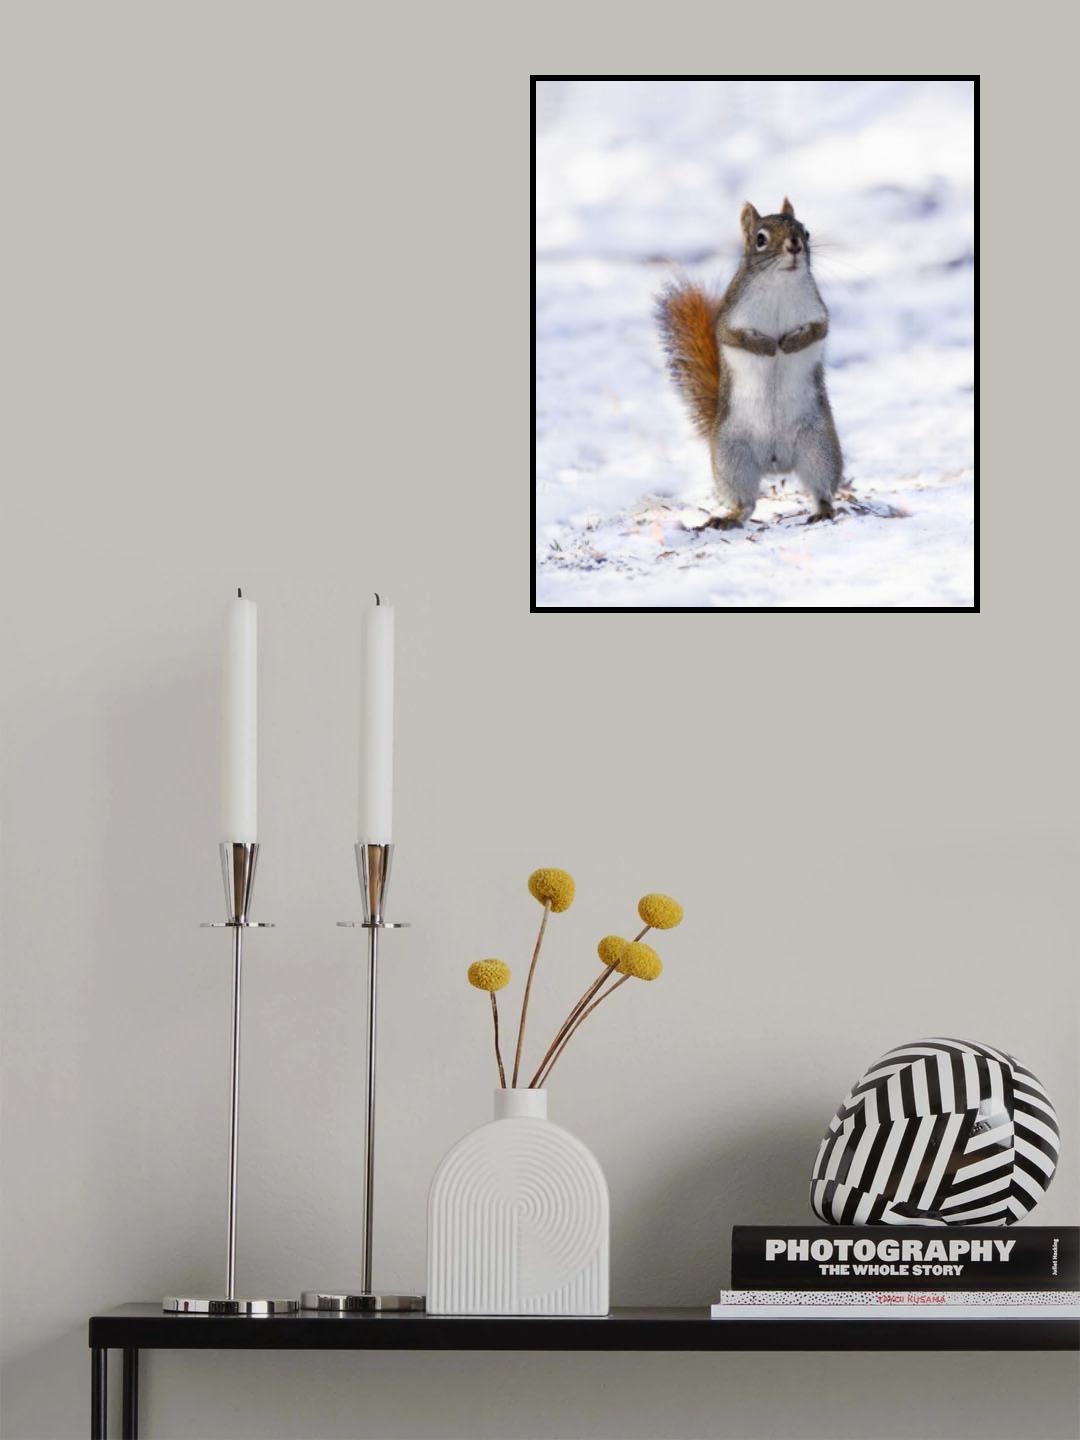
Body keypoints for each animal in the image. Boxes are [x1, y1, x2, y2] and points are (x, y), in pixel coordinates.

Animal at [656, 198, 842, 525]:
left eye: (805, 231)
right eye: (760, 239)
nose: (794, 246)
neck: (780, 285)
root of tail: (776, 463)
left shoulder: (817, 313)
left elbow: (817, 331)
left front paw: (789, 343)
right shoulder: (731, 317)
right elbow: (734, 337)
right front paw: (767, 346)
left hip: (819, 447)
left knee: (821, 487)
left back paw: (823, 510)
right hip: (733, 457)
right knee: (746, 503)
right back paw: (728, 518)